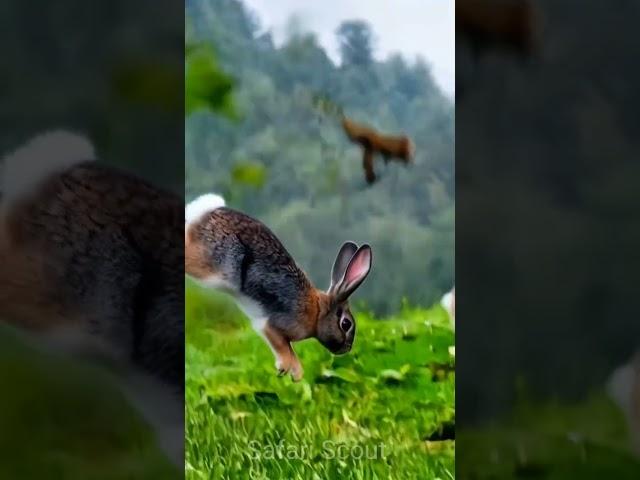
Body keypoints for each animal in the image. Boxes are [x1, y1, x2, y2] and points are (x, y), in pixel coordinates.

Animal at [182, 193, 372, 380]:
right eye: (346, 324)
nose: (346, 348)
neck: (317, 312)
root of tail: (207, 212)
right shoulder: (272, 325)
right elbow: (284, 347)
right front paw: (291, 371)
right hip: (220, 266)